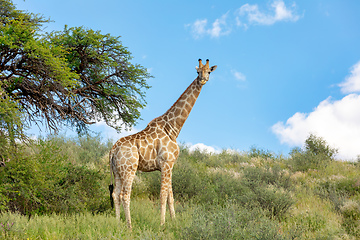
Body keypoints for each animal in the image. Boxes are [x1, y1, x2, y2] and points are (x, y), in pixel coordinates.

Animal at [109, 58, 217, 229]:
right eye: (197, 71)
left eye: (209, 71)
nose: (203, 80)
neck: (172, 128)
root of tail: (112, 150)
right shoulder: (165, 164)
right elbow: (162, 195)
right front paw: (162, 224)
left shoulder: (170, 165)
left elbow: (170, 197)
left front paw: (174, 222)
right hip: (129, 168)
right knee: (124, 195)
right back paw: (130, 226)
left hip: (117, 171)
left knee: (115, 194)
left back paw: (118, 223)